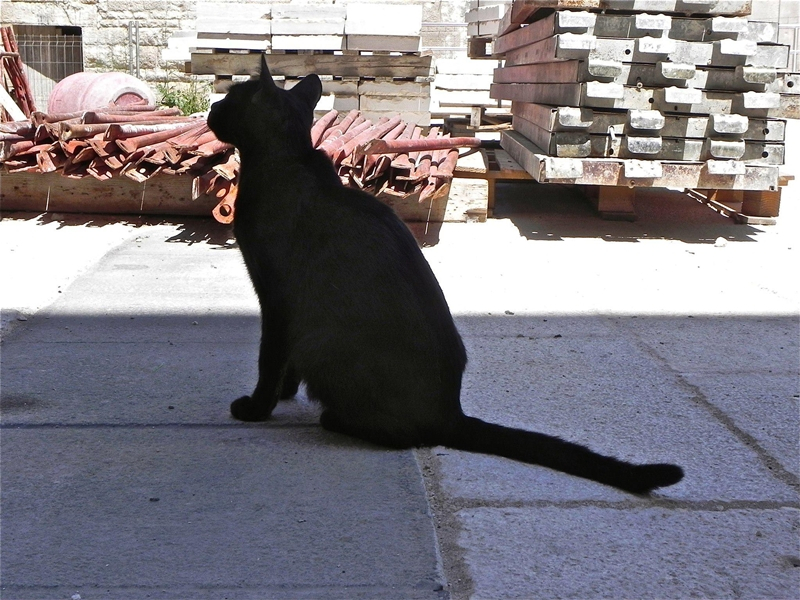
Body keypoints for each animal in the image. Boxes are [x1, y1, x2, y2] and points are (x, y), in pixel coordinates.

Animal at [205, 55, 680, 496]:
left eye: (229, 101)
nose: (210, 109)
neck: (285, 162)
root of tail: (451, 414)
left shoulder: (276, 300)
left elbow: (270, 358)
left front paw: (258, 407)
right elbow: (282, 363)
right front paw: (284, 393)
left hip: (325, 344)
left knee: (402, 435)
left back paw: (335, 420)